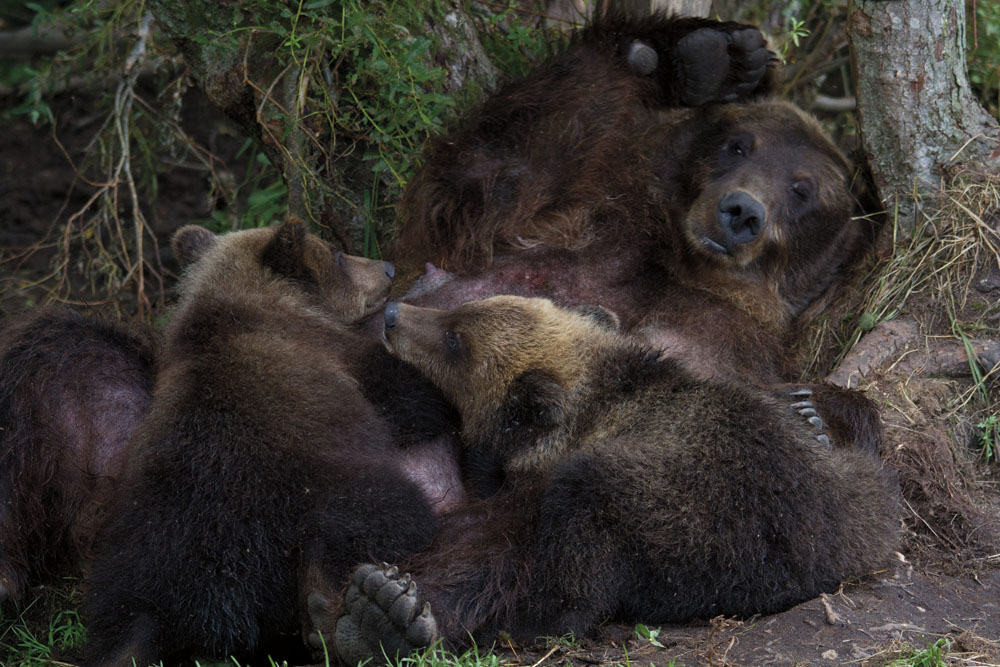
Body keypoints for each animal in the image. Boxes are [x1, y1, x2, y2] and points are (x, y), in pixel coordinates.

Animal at [326, 298, 900, 667]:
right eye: (461, 309)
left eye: (454, 340)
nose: (394, 315)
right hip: (857, 495)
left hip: (692, 516)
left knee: (573, 559)